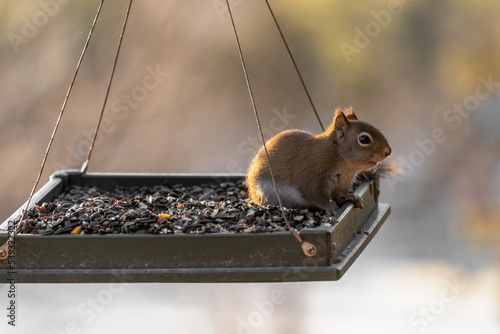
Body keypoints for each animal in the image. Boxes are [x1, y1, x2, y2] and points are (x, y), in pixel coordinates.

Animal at [246, 108, 390, 215]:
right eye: (364, 139)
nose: (388, 151)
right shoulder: (311, 178)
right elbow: (316, 196)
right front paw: (332, 208)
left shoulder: (342, 183)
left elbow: (341, 195)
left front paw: (351, 197)